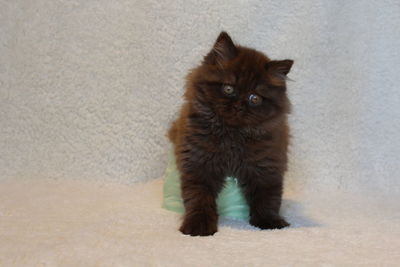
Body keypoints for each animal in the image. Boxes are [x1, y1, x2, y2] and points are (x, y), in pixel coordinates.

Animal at [167, 31, 292, 237]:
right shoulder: (198, 164)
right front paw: (198, 226)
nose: (239, 106)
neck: (232, 135)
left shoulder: (267, 165)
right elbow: (198, 198)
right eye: (228, 89)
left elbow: (268, 198)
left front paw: (270, 222)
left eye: (254, 98)